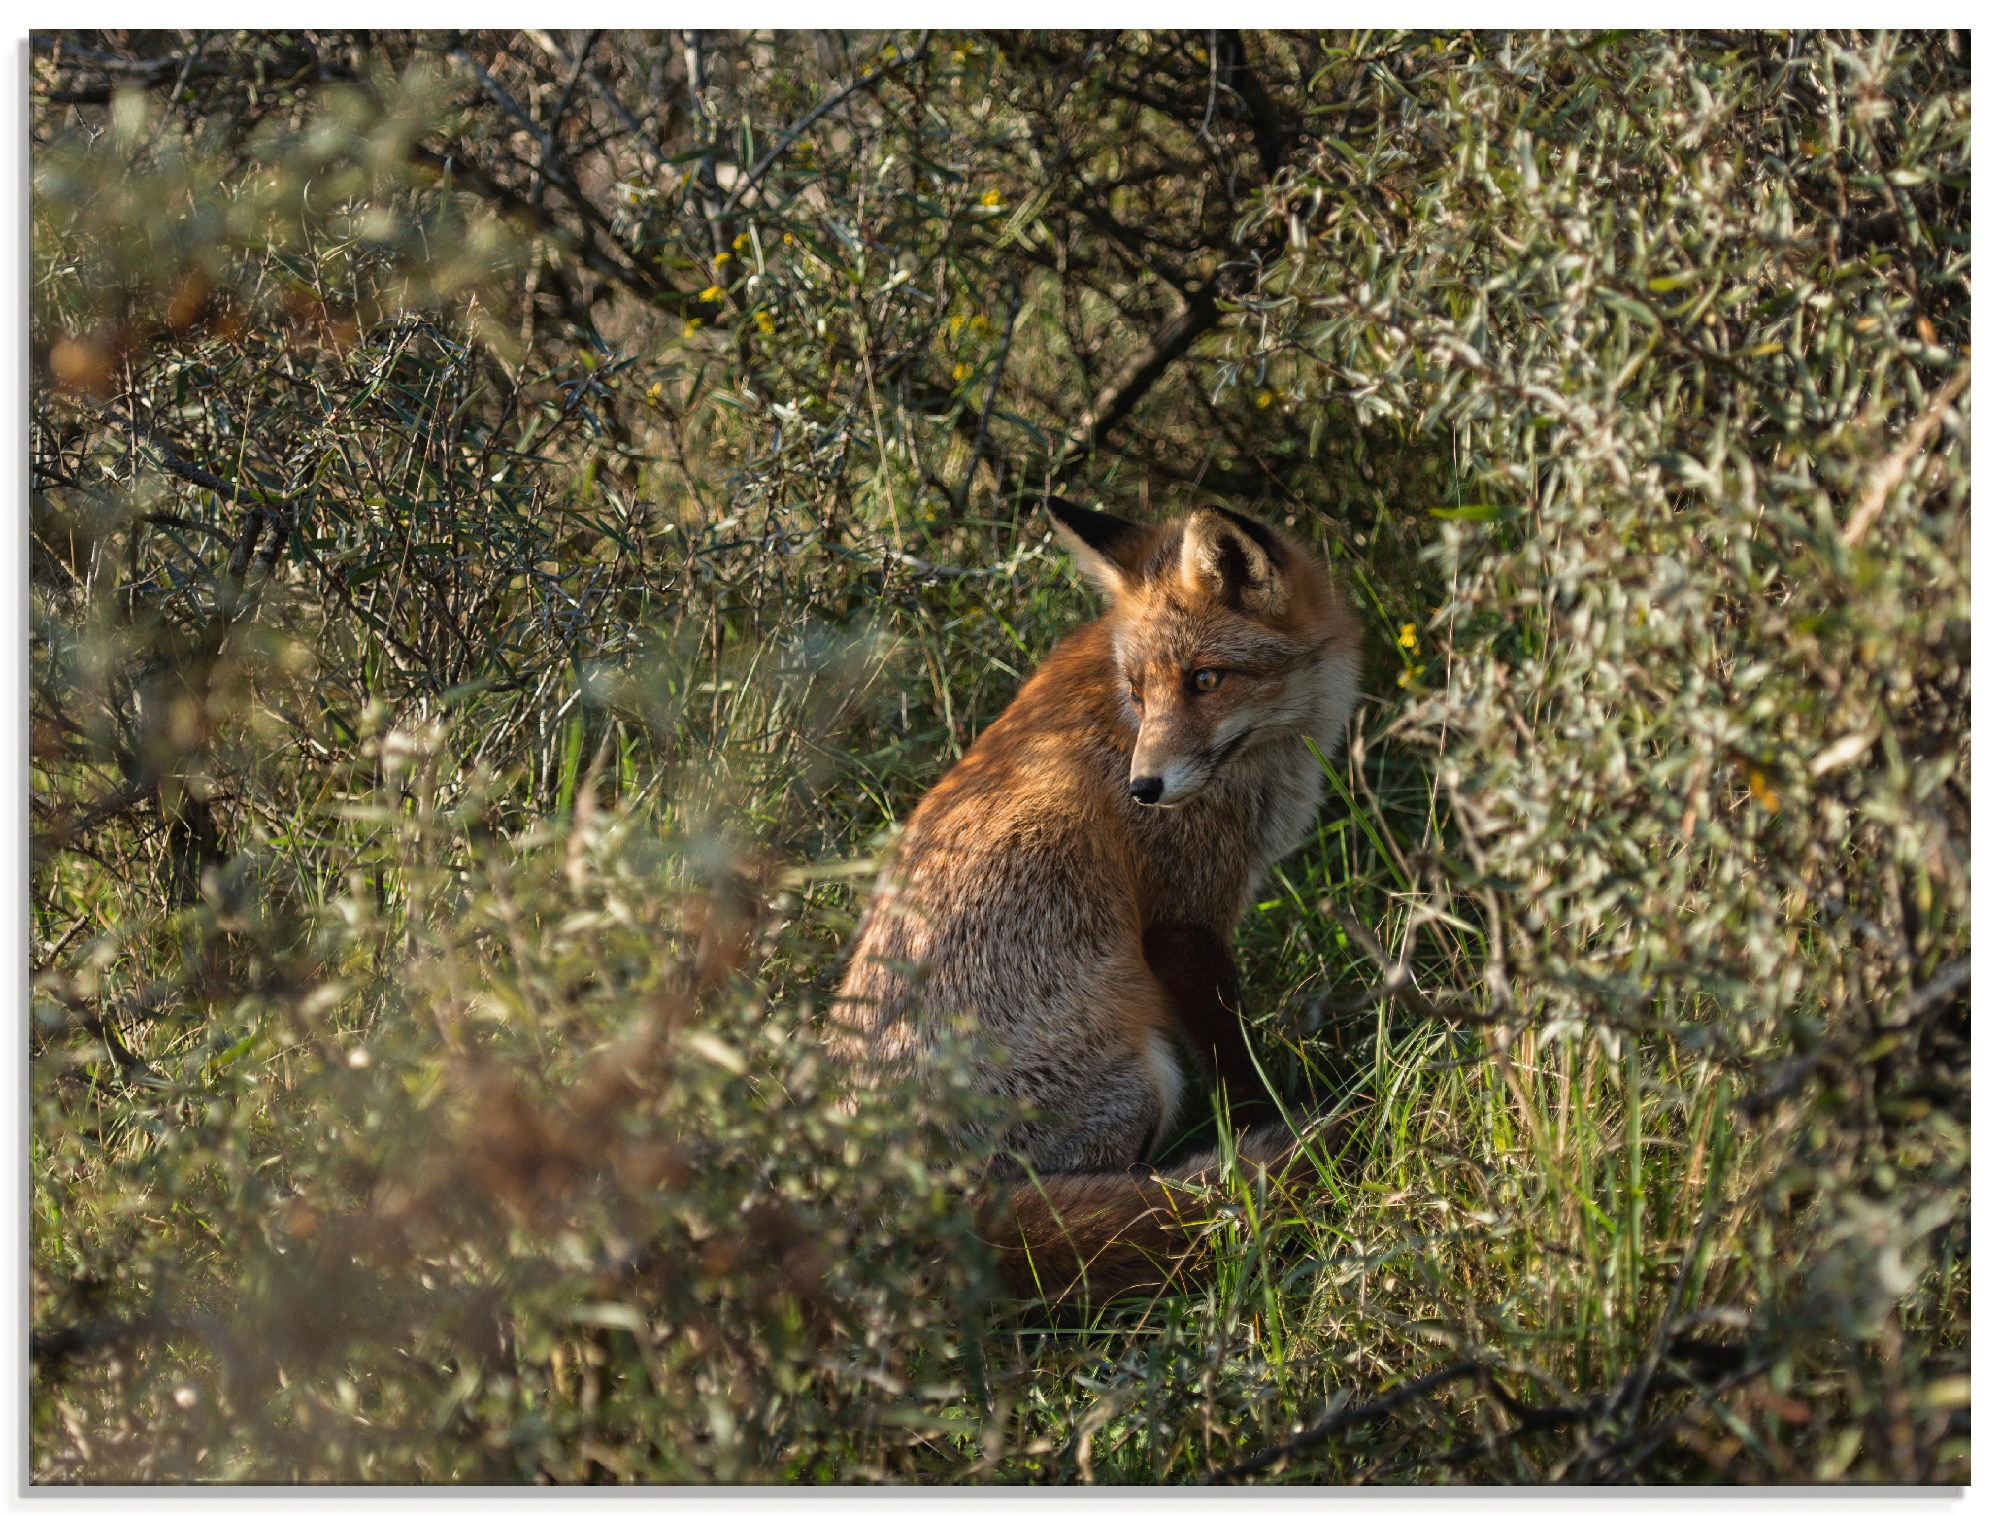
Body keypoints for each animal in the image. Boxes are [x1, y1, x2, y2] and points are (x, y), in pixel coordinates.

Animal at [830, 497, 1363, 1298]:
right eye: (1139, 692)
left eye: (1206, 679)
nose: (1145, 789)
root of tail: (888, 1209)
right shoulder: (1182, 920)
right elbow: (1236, 1062)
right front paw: (1262, 1123)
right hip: (1146, 1078)